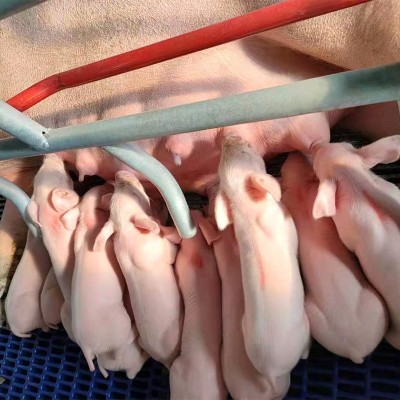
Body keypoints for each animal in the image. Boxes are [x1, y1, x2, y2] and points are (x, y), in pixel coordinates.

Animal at [72, 184, 147, 379]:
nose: (108, 183)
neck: (91, 219)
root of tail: (85, 346)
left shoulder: (78, 236)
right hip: (120, 323)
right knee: (124, 343)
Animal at [94, 171, 182, 368]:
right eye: (134, 194)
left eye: (119, 189)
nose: (119, 172)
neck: (126, 231)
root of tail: (165, 359)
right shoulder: (163, 250)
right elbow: (172, 248)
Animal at [213, 133, 310, 379]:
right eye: (246, 151)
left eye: (219, 164)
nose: (227, 135)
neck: (246, 207)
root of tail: (271, 369)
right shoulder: (287, 224)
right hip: (304, 327)